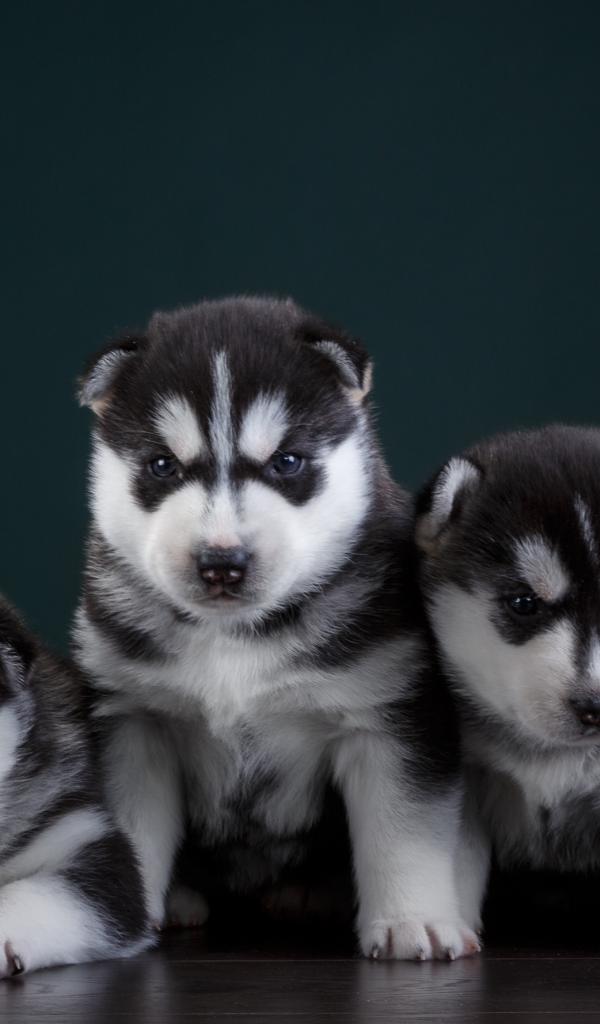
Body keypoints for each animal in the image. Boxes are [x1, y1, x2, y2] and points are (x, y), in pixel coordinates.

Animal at [73, 295, 479, 960]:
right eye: (161, 466)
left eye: (287, 462)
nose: (221, 562)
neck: (236, 637)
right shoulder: (134, 723)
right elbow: (132, 826)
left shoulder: (389, 715)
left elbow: (403, 831)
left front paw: (411, 920)